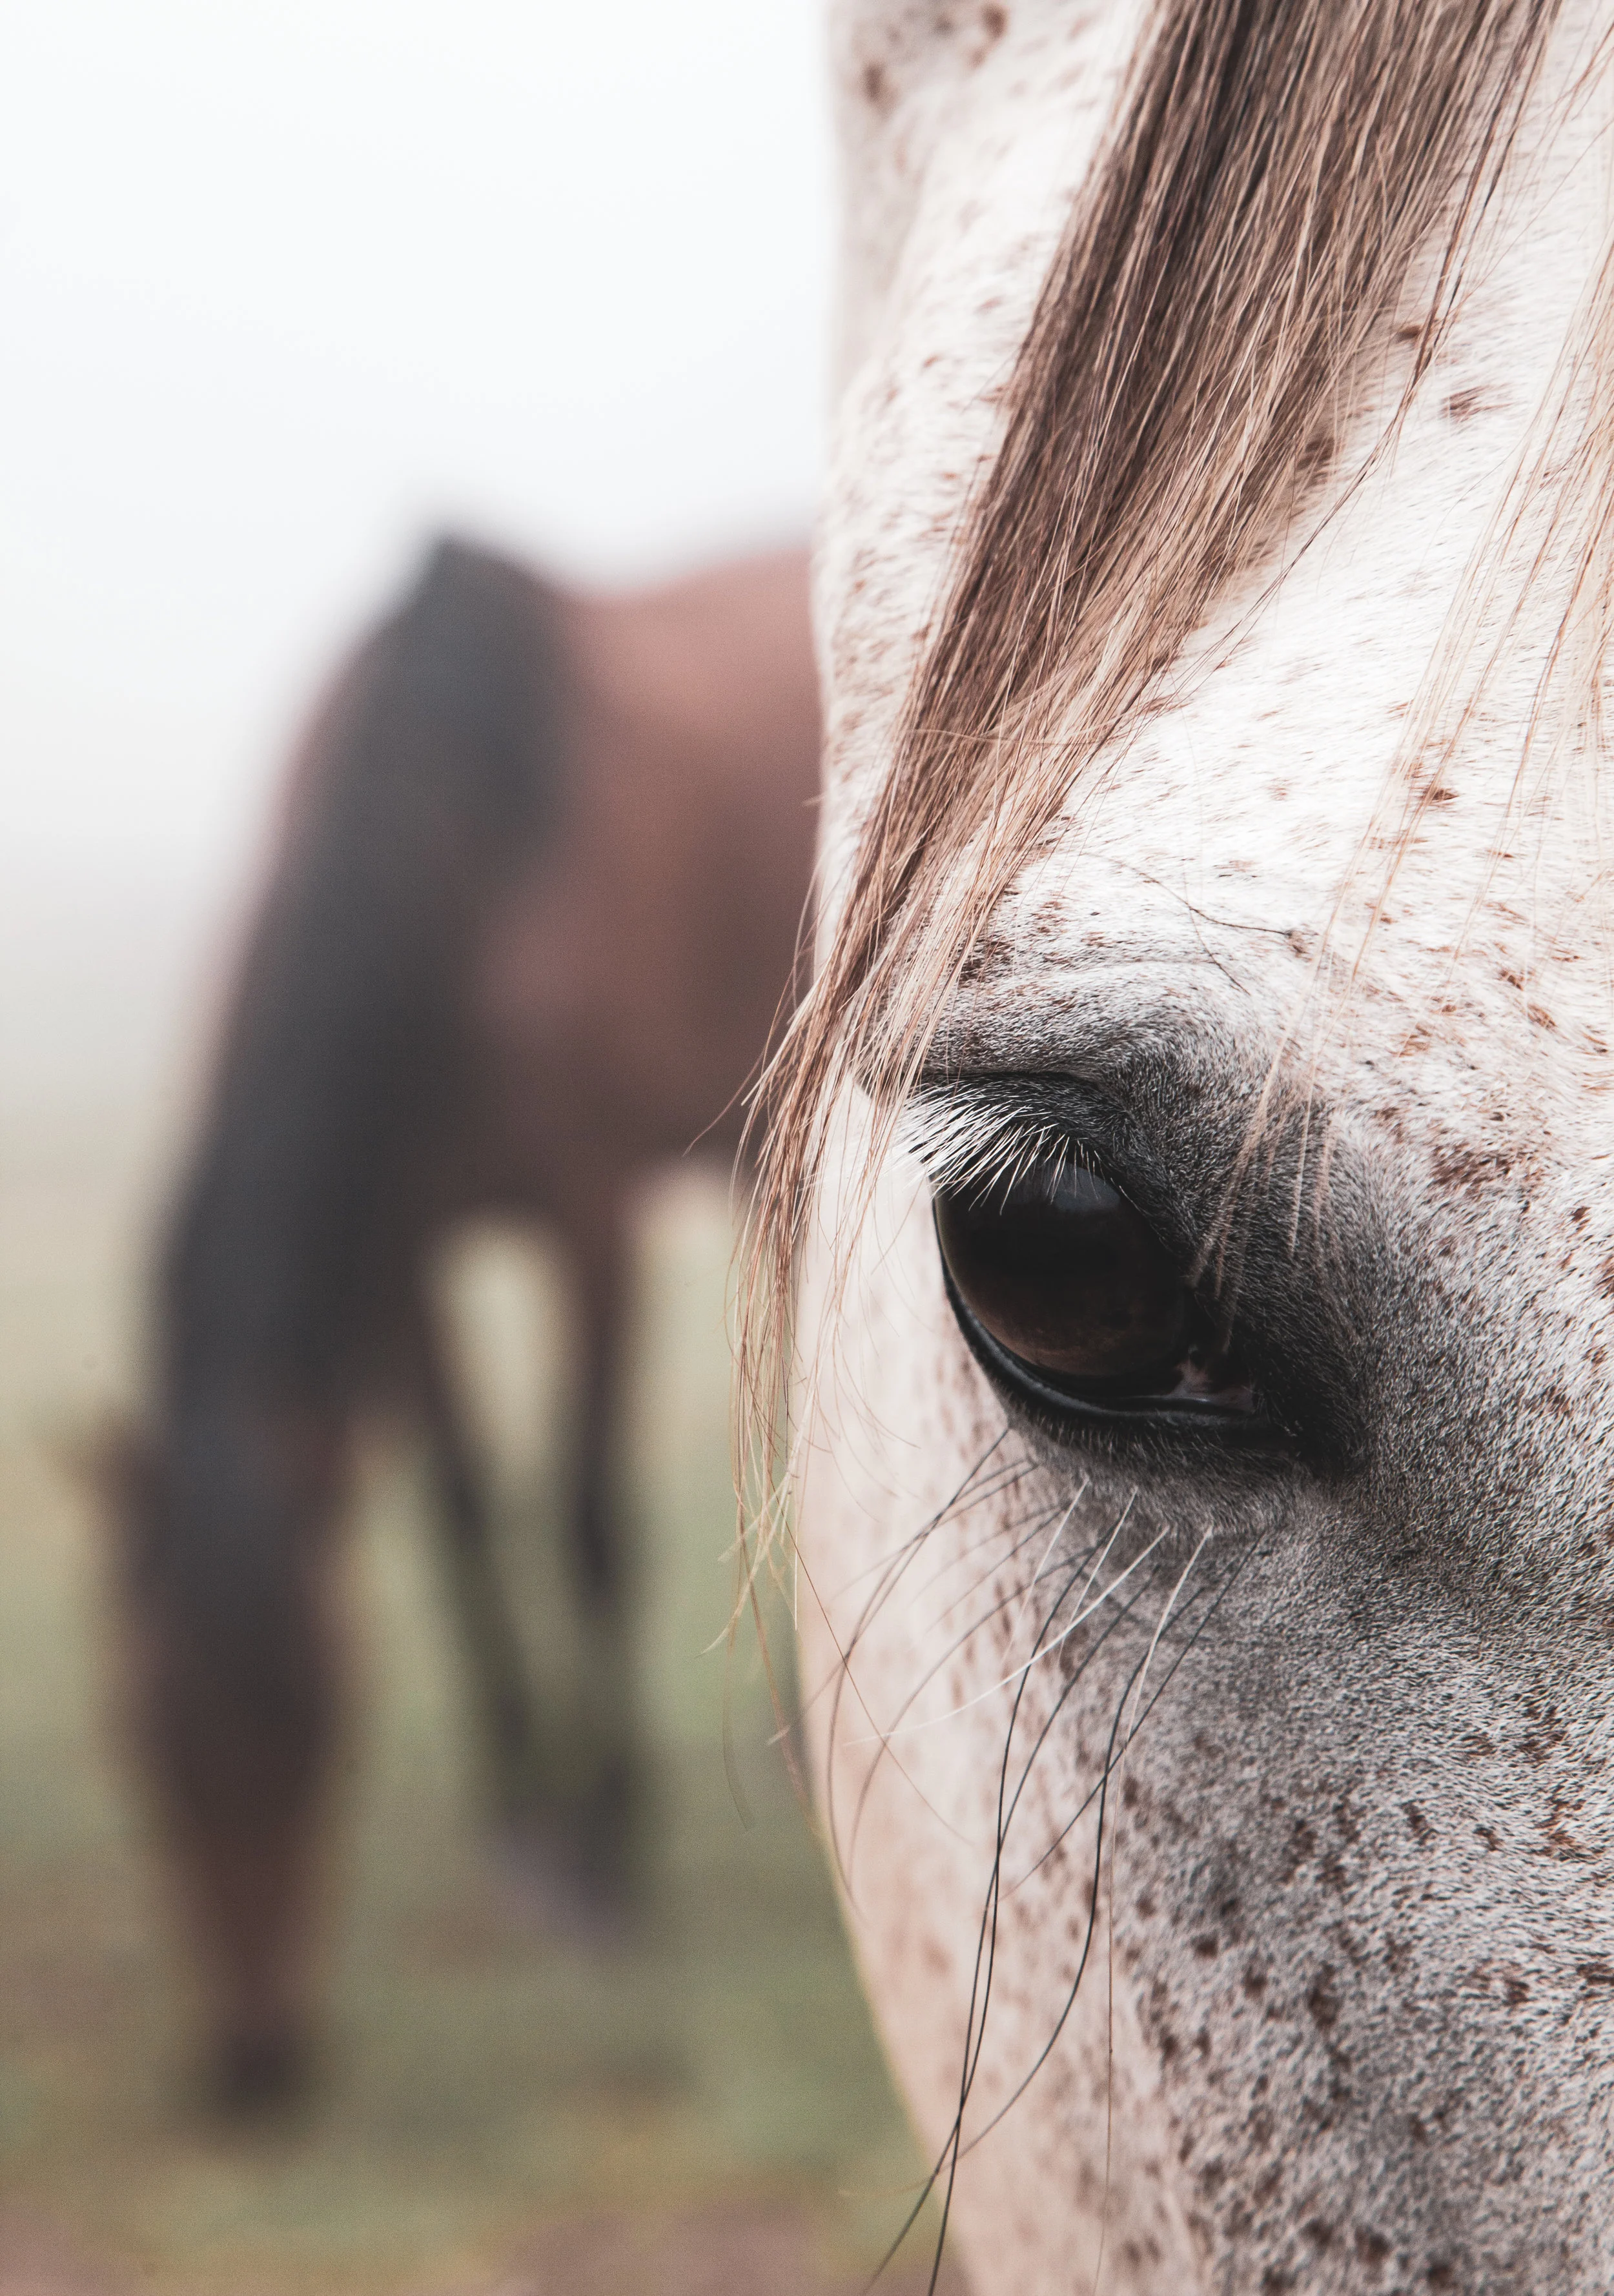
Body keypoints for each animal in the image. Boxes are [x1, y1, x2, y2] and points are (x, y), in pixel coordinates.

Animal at [108, 537, 819, 2108]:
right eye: (149, 1747)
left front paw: (607, 1855)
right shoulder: (402, 1249)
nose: (256, 2068)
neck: (464, 841)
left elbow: (586, 1512)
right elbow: (459, 1512)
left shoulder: (589, 1213)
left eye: (326, 1731)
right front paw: (522, 1829)